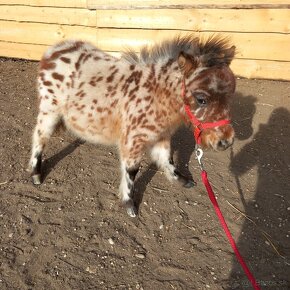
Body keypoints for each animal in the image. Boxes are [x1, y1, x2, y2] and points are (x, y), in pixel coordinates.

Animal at [28, 35, 236, 216]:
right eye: (201, 99)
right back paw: (36, 174)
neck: (156, 93)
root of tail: (53, 51)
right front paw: (129, 204)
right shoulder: (133, 140)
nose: (225, 142)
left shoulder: (161, 136)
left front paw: (182, 180)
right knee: (39, 136)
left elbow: (167, 159)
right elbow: (132, 170)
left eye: (230, 97)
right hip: (49, 110)